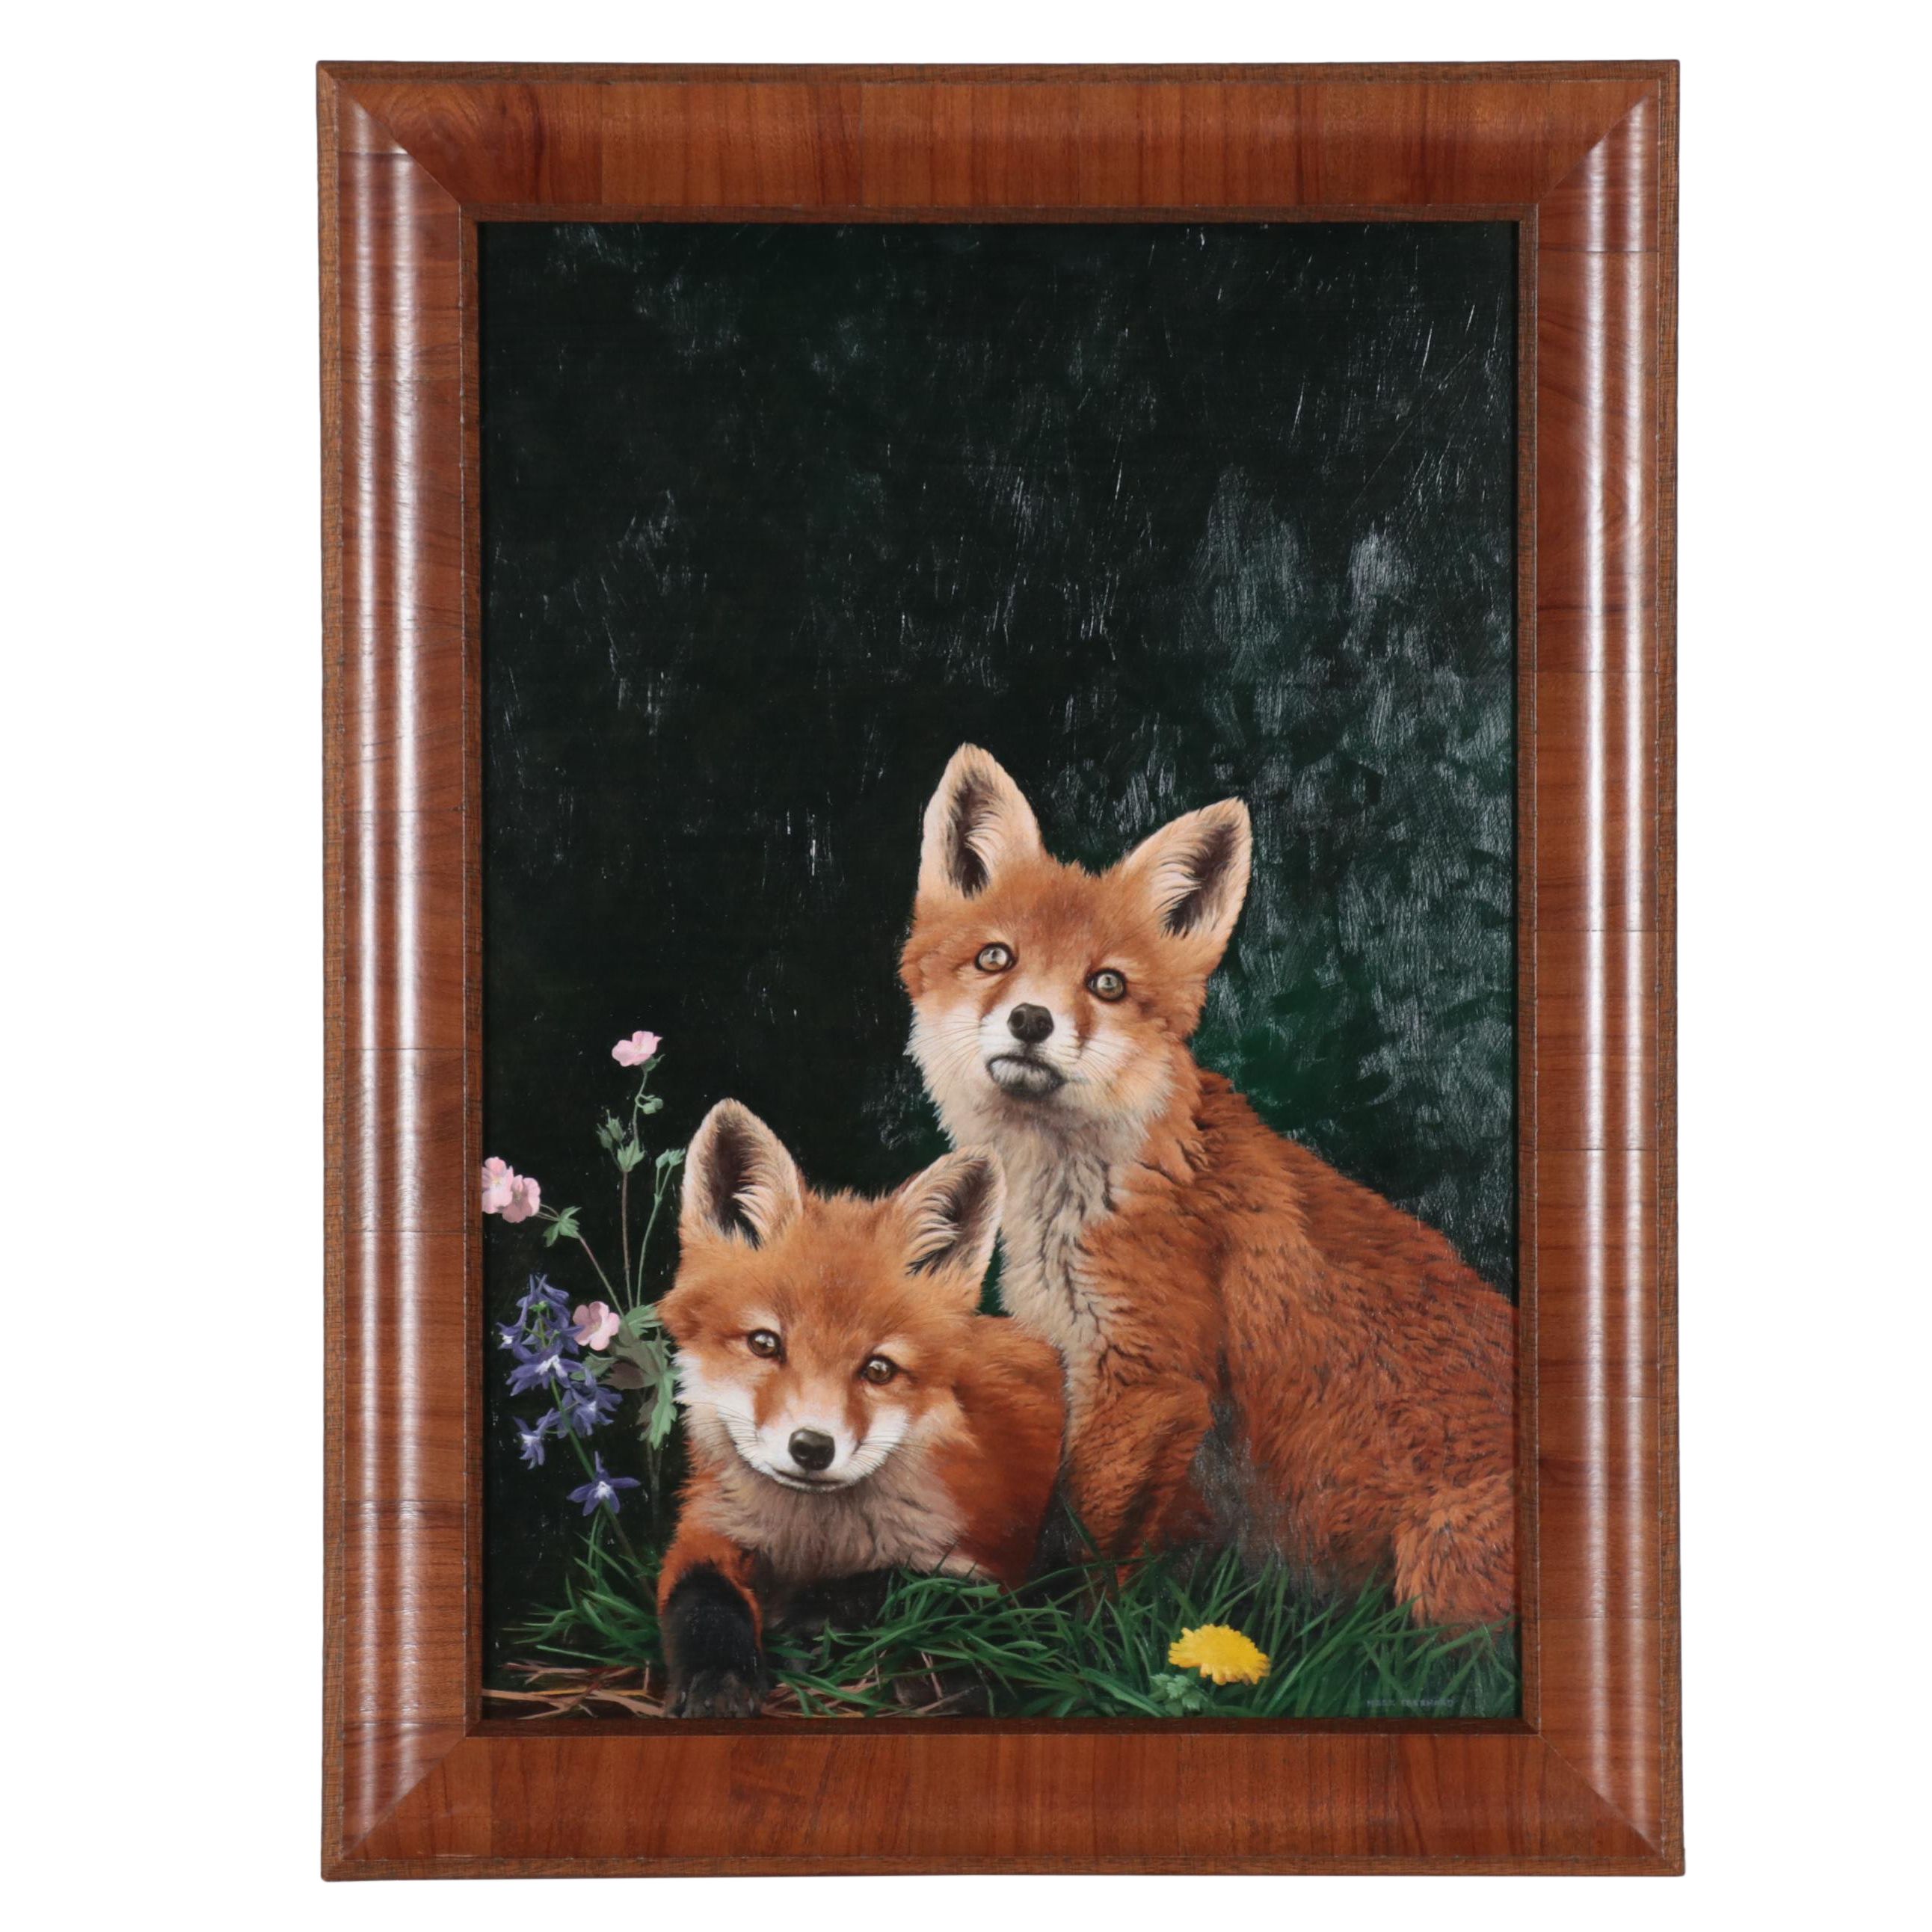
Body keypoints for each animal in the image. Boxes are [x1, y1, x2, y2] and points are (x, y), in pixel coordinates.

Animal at [654, 1099, 1066, 1716]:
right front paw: (717, 1678)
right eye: (765, 1344)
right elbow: (701, 1600)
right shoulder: (704, 1530)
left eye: (878, 1369)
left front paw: (811, 1619)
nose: (811, 1447)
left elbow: (901, 1581)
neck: (814, 1541)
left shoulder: (995, 1564)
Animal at [899, 745, 1517, 1627]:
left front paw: (1072, 1637)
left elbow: (1086, 1545)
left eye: (1107, 985)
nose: (1030, 1021)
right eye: (996, 958)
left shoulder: (1153, 1374)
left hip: (1438, 1557)